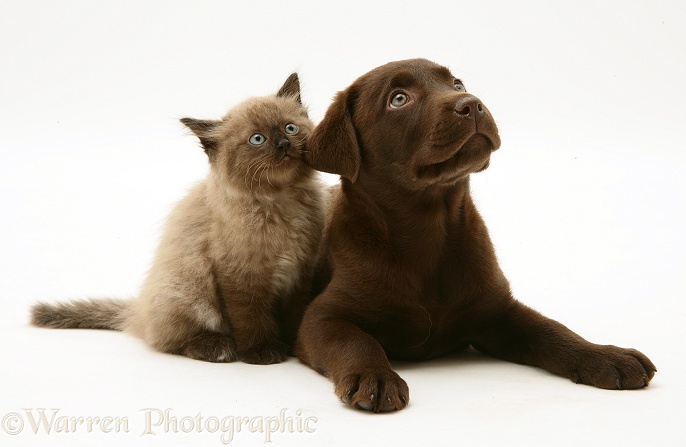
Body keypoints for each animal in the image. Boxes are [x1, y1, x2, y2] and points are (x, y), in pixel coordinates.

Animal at [29, 73, 326, 366]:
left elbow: (294, 313)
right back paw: (217, 347)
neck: (281, 202)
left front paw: (294, 345)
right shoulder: (240, 274)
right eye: (257, 139)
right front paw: (262, 352)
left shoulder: (300, 272)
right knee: (167, 341)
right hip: (189, 283)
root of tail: (139, 309)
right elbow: (250, 316)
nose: (284, 144)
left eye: (290, 128)